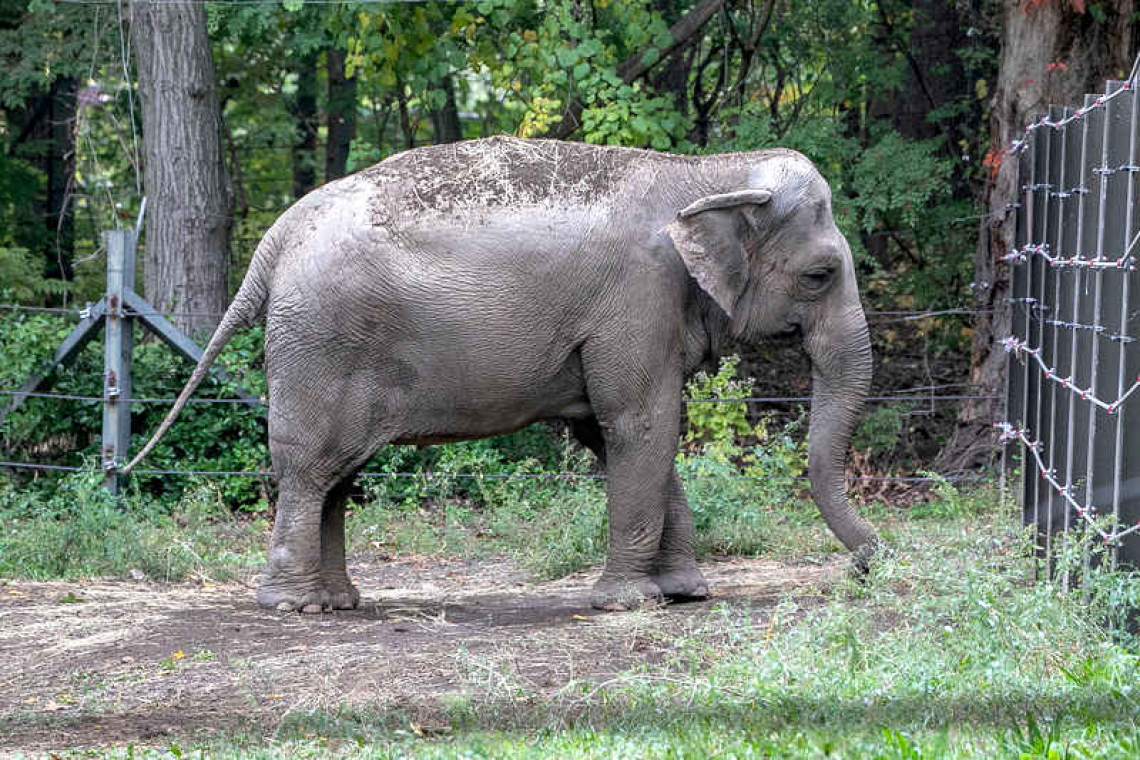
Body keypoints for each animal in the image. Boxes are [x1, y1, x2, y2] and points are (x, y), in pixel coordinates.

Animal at [129, 135, 880, 610]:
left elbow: (622, 433)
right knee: (310, 467)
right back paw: (292, 609)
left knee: (338, 475)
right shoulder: (635, 301)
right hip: (319, 343)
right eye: (820, 275)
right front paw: (630, 603)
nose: (871, 562)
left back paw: (337, 602)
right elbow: (641, 424)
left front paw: (685, 593)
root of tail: (276, 238)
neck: (708, 173)